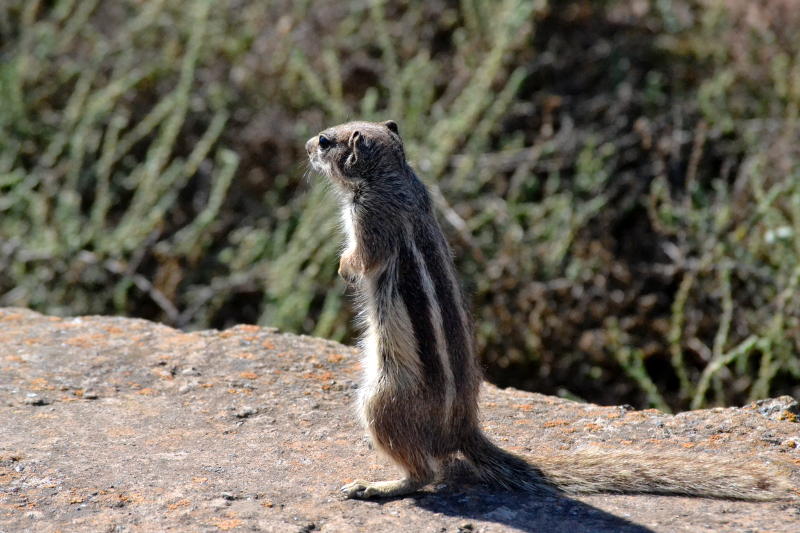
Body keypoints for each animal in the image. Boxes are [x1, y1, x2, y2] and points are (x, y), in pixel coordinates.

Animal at [304, 119, 792, 498]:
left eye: (327, 141)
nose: (308, 146)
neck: (392, 176)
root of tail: (463, 429)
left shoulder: (371, 219)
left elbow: (362, 258)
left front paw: (343, 270)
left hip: (381, 401)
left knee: (424, 474)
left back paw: (375, 486)